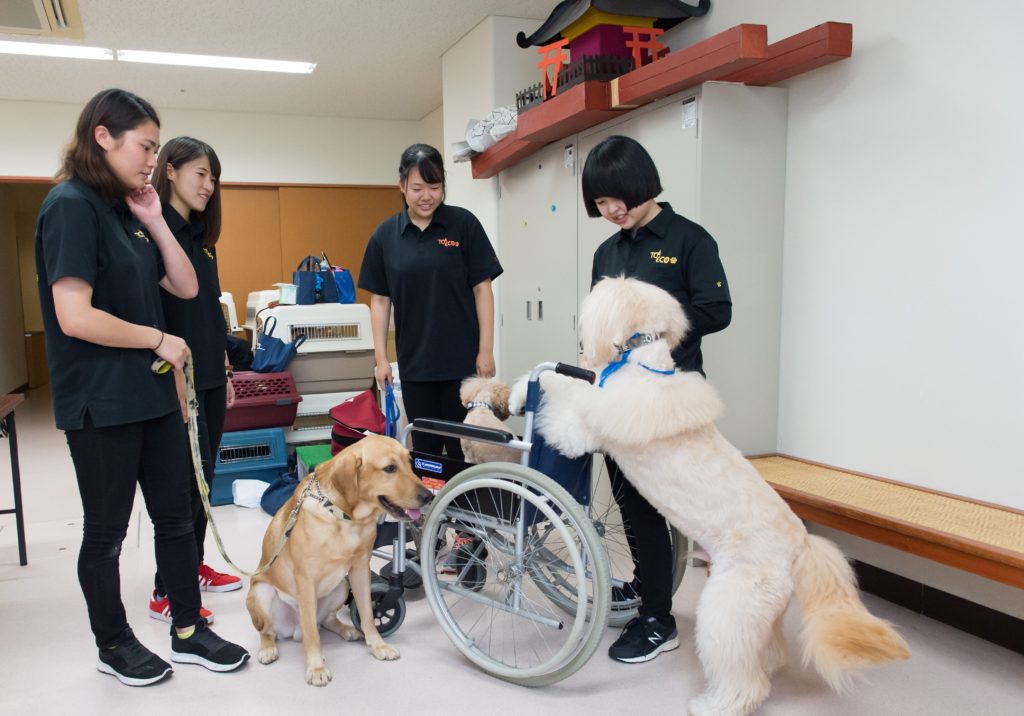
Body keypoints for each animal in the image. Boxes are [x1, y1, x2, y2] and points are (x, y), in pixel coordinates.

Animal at [246, 434, 432, 684]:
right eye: (390, 468)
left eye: (409, 463)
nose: (428, 496)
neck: (345, 518)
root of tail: (293, 632)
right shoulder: (305, 579)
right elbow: (312, 635)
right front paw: (316, 667)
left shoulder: (360, 569)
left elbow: (368, 614)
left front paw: (378, 645)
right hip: (261, 592)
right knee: (270, 631)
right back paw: (268, 649)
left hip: (342, 585)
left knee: (325, 621)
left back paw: (348, 630)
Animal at [512, 278, 913, 716]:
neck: (639, 362)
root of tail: (801, 546)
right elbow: (565, 383)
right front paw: (517, 393)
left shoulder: (579, 431)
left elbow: (562, 392)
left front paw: (525, 391)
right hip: (757, 614)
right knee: (766, 652)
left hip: (728, 607)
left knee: (744, 676)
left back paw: (715, 704)